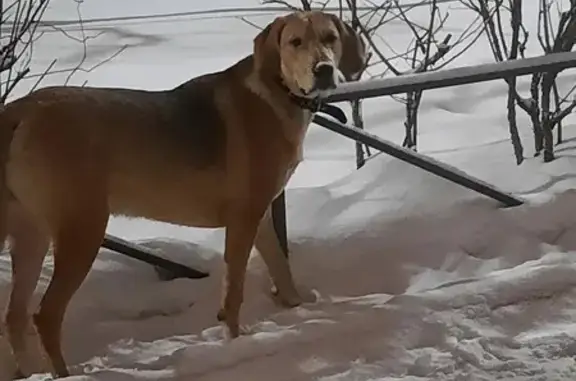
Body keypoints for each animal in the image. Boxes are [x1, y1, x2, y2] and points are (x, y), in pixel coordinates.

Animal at [0, 9, 366, 378]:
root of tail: (19, 111)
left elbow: (280, 266)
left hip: (30, 234)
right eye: (295, 42)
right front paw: (235, 342)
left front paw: (297, 307)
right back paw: (65, 373)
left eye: (330, 38)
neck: (278, 90)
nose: (323, 69)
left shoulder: (258, 215)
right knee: (45, 314)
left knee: (14, 316)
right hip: (83, 230)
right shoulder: (244, 218)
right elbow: (234, 291)